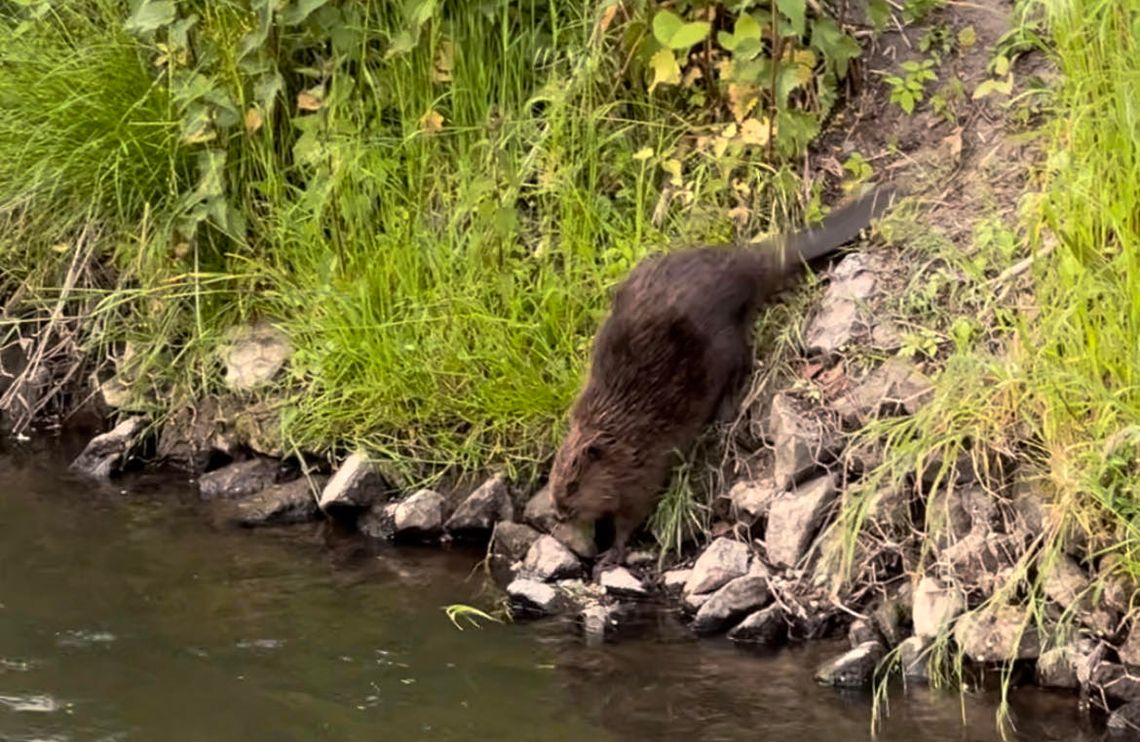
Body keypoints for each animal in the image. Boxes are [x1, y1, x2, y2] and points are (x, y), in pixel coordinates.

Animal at [544, 182, 898, 572]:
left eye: (574, 485)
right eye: (554, 479)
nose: (558, 512)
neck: (615, 431)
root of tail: (753, 262)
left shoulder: (644, 466)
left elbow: (633, 514)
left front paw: (612, 554)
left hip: (723, 338)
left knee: (743, 356)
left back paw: (726, 408)